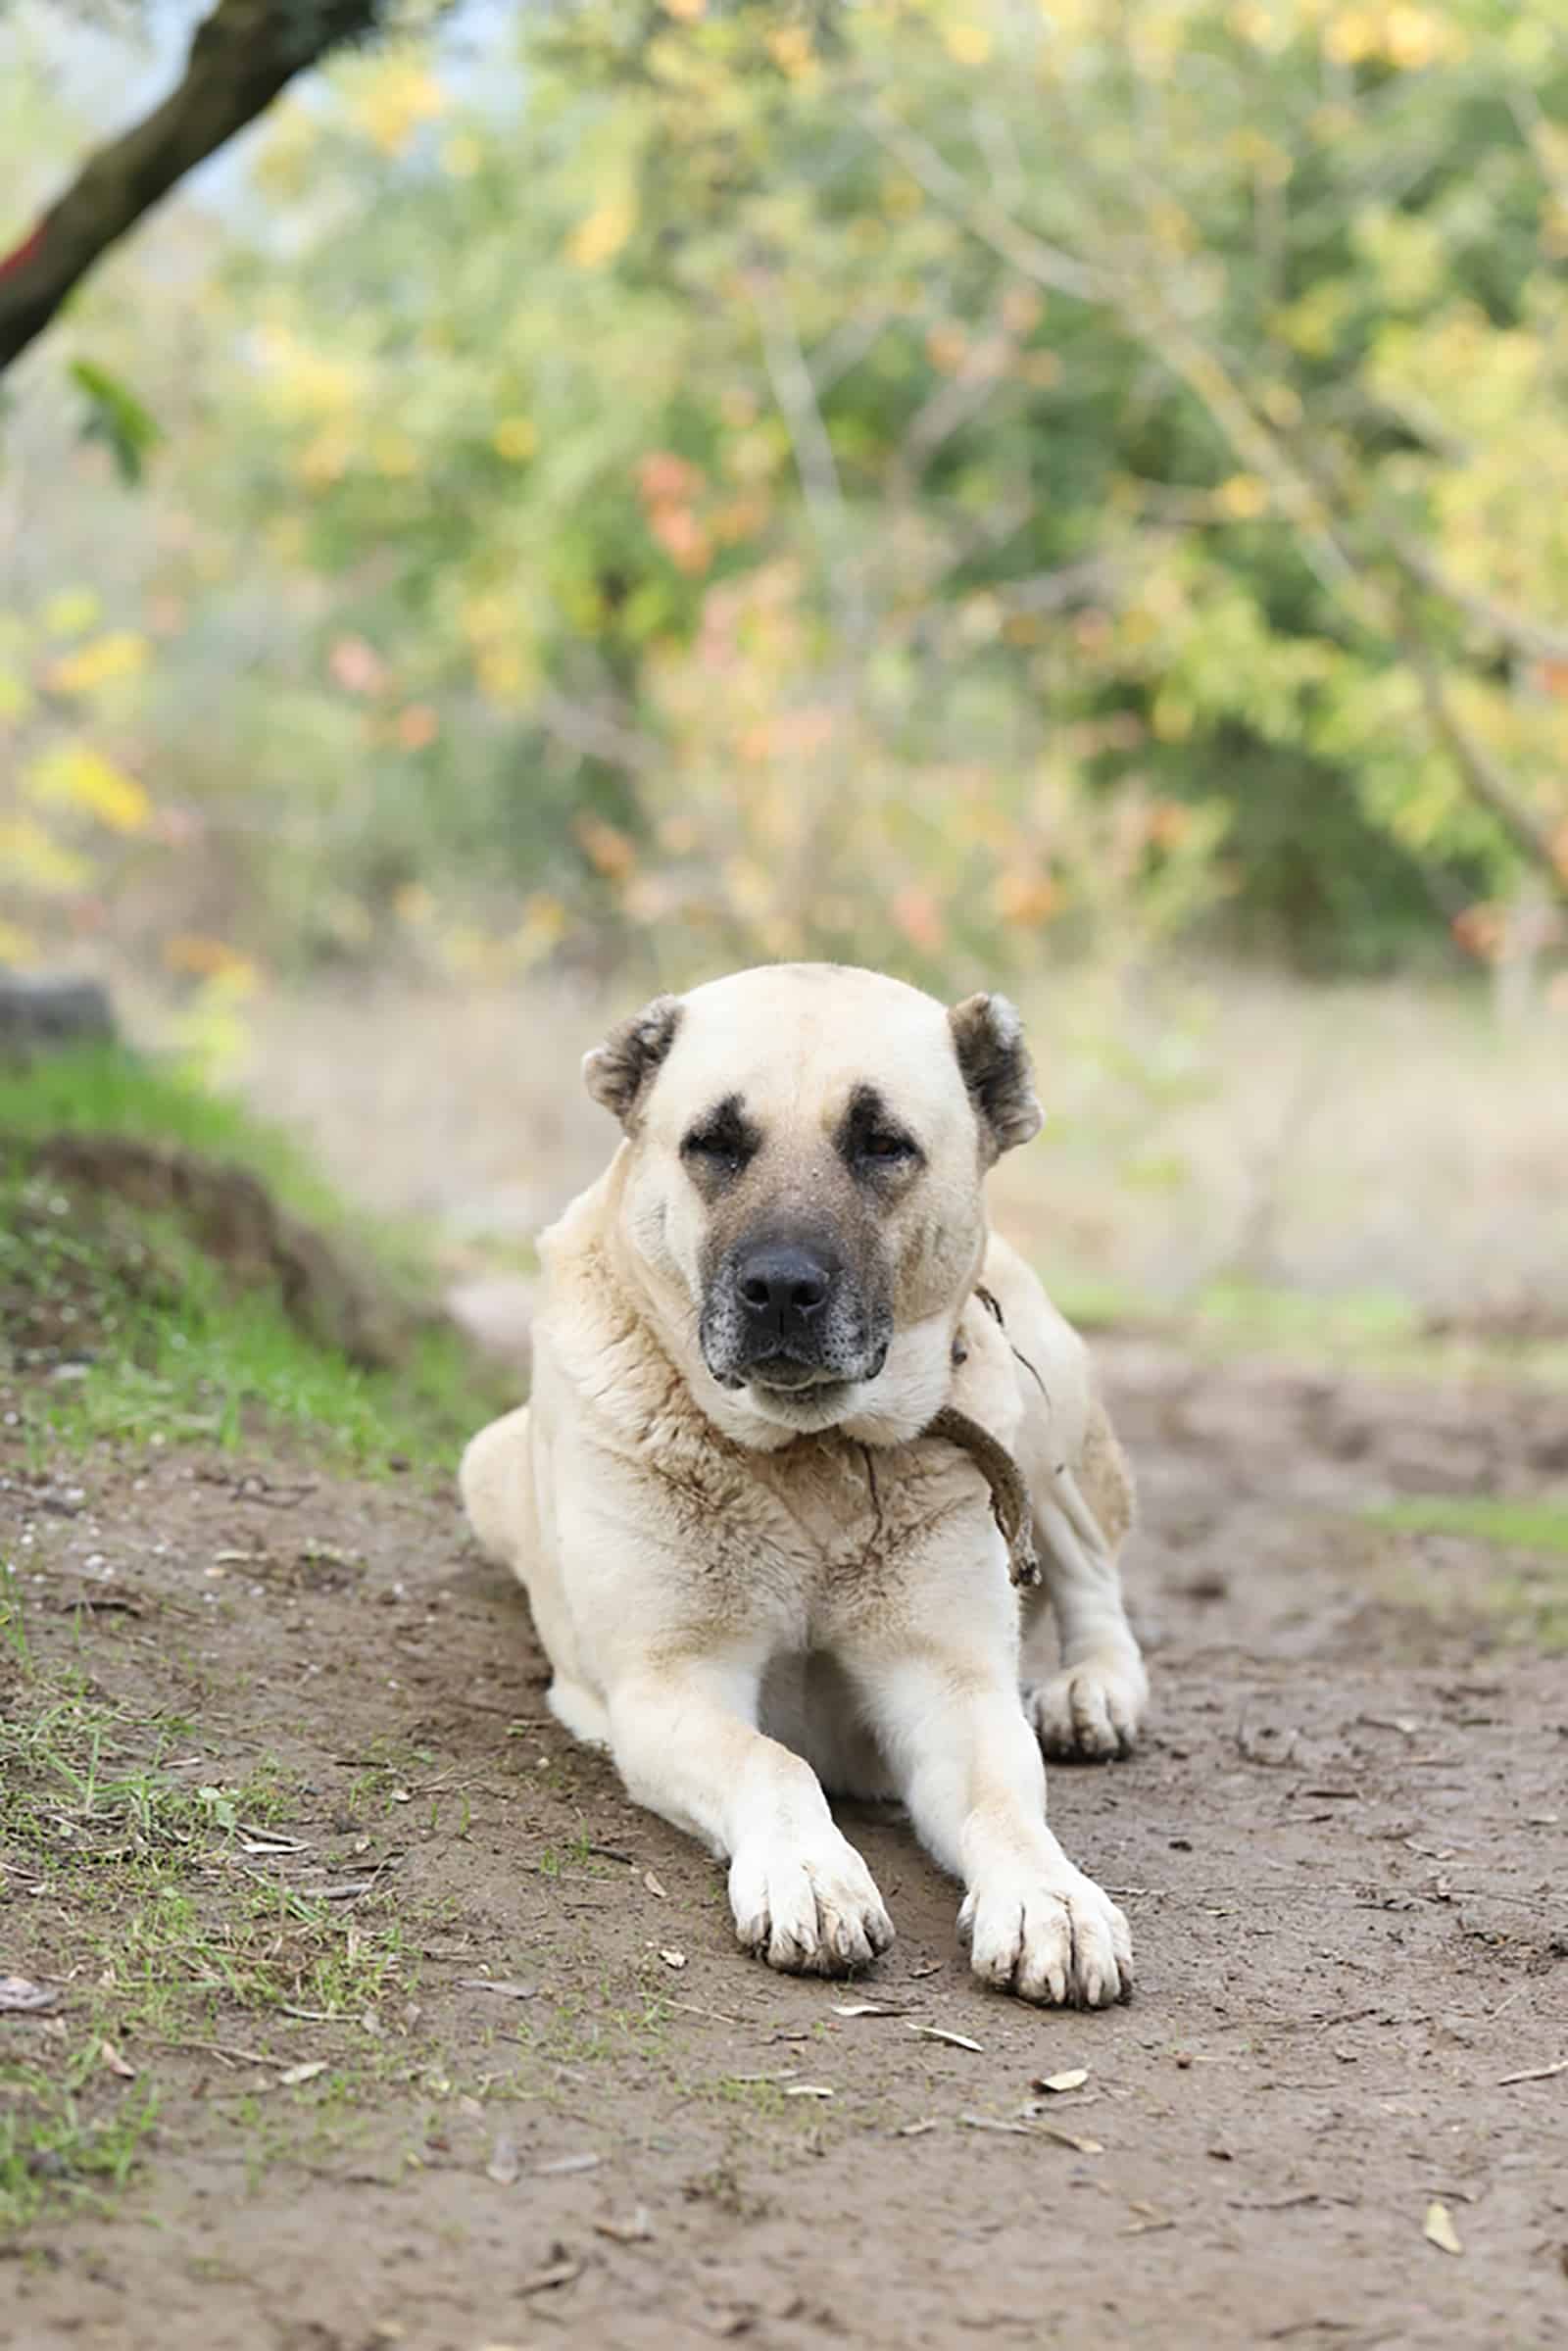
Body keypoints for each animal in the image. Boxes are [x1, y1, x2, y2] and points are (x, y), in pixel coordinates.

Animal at [461, 963, 1147, 2012]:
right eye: (713, 1142)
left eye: (882, 1143)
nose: (780, 1289)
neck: (813, 1458)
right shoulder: (671, 1682)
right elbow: (773, 1761)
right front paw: (811, 1874)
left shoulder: (951, 1681)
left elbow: (1005, 1802)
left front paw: (1050, 1898)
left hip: (1039, 1402)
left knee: (1090, 1569)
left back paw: (1094, 1688)